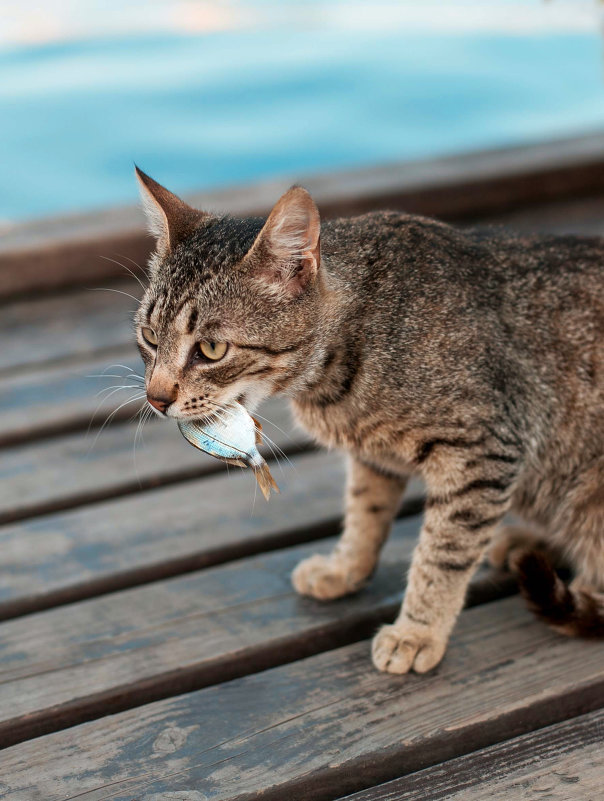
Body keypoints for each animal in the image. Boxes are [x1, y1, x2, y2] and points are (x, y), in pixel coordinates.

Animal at [133, 169, 604, 676]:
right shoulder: (374, 455)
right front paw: (344, 569)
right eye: (149, 336)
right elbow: (364, 514)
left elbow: (443, 551)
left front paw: (418, 630)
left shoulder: (481, 453)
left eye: (212, 349)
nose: (156, 398)